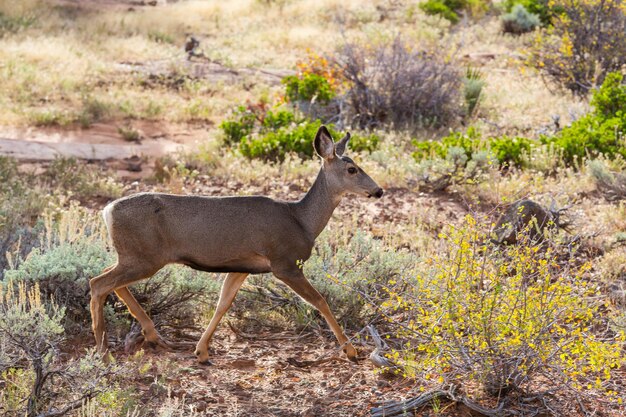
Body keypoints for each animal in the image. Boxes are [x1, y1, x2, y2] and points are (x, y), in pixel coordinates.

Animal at [87, 125, 380, 362]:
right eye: (352, 169)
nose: (378, 190)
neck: (301, 220)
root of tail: (107, 210)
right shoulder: (284, 262)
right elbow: (320, 300)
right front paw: (351, 351)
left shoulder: (241, 266)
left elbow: (223, 304)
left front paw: (202, 352)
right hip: (144, 257)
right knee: (98, 283)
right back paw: (103, 352)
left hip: (134, 256)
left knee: (109, 280)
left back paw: (151, 336)